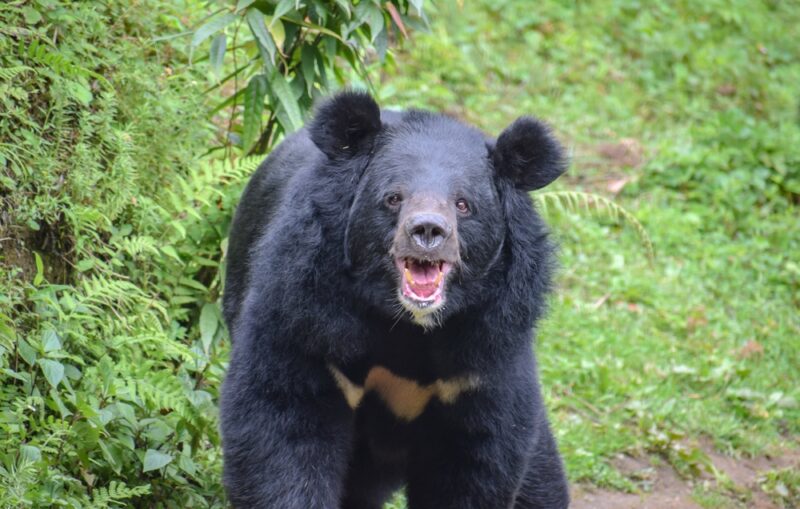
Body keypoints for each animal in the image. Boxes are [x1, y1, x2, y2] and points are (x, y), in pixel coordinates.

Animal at [221, 91, 569, 509]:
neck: (407, 326)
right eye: (393, 198)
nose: (428, 231)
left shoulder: (486, 353)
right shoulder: (307, 314)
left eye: (463, 204)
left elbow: (476, 461)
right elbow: (283, 424)